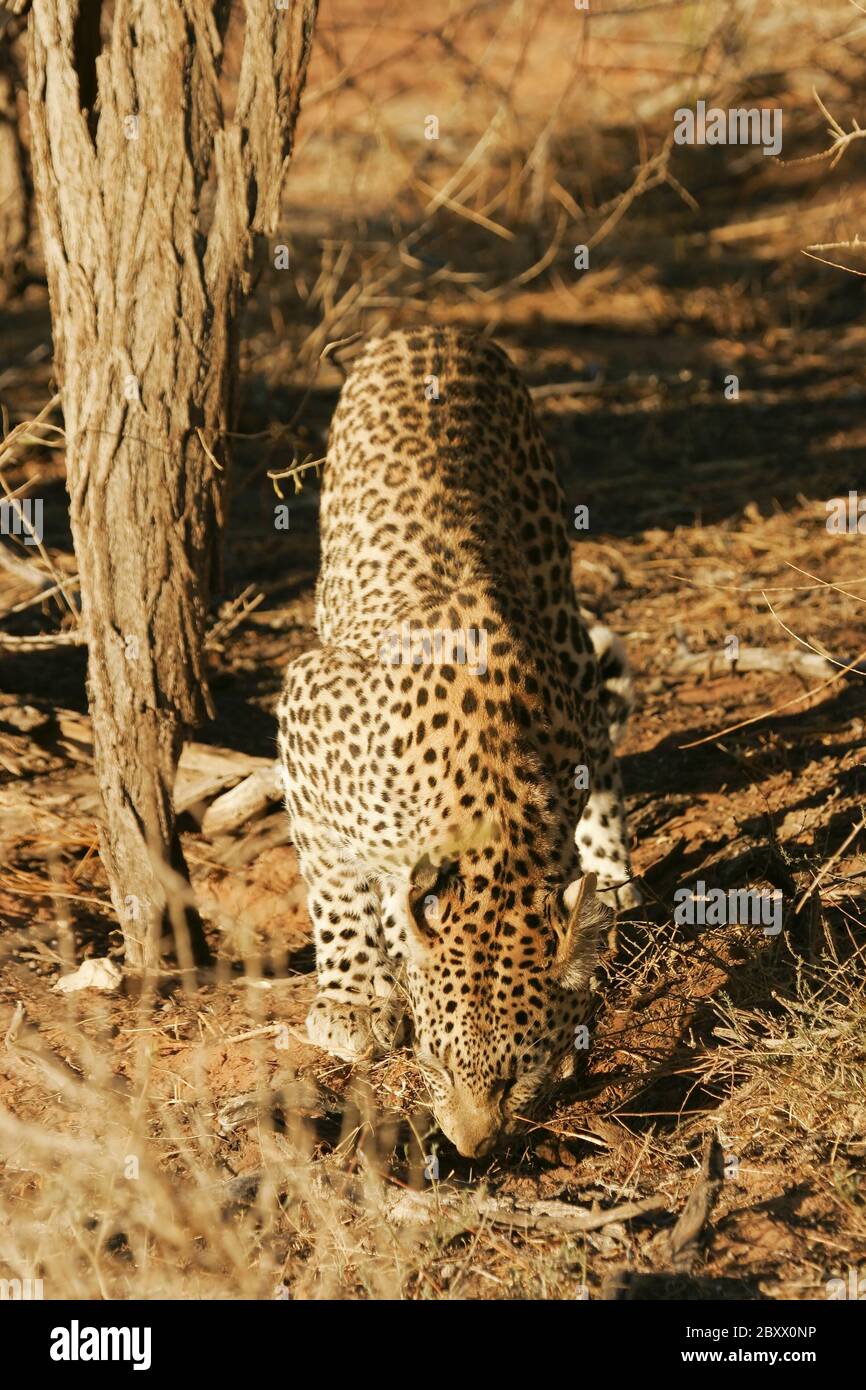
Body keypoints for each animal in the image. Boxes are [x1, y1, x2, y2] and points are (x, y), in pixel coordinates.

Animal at [279, 325, 644, 1162]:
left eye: (521, 1071)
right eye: (439, 1063)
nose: (474, 1148)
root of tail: (436, 328)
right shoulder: (306, 706)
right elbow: (332, 885)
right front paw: (351, 999)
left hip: (560, 601)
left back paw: (612, 875)